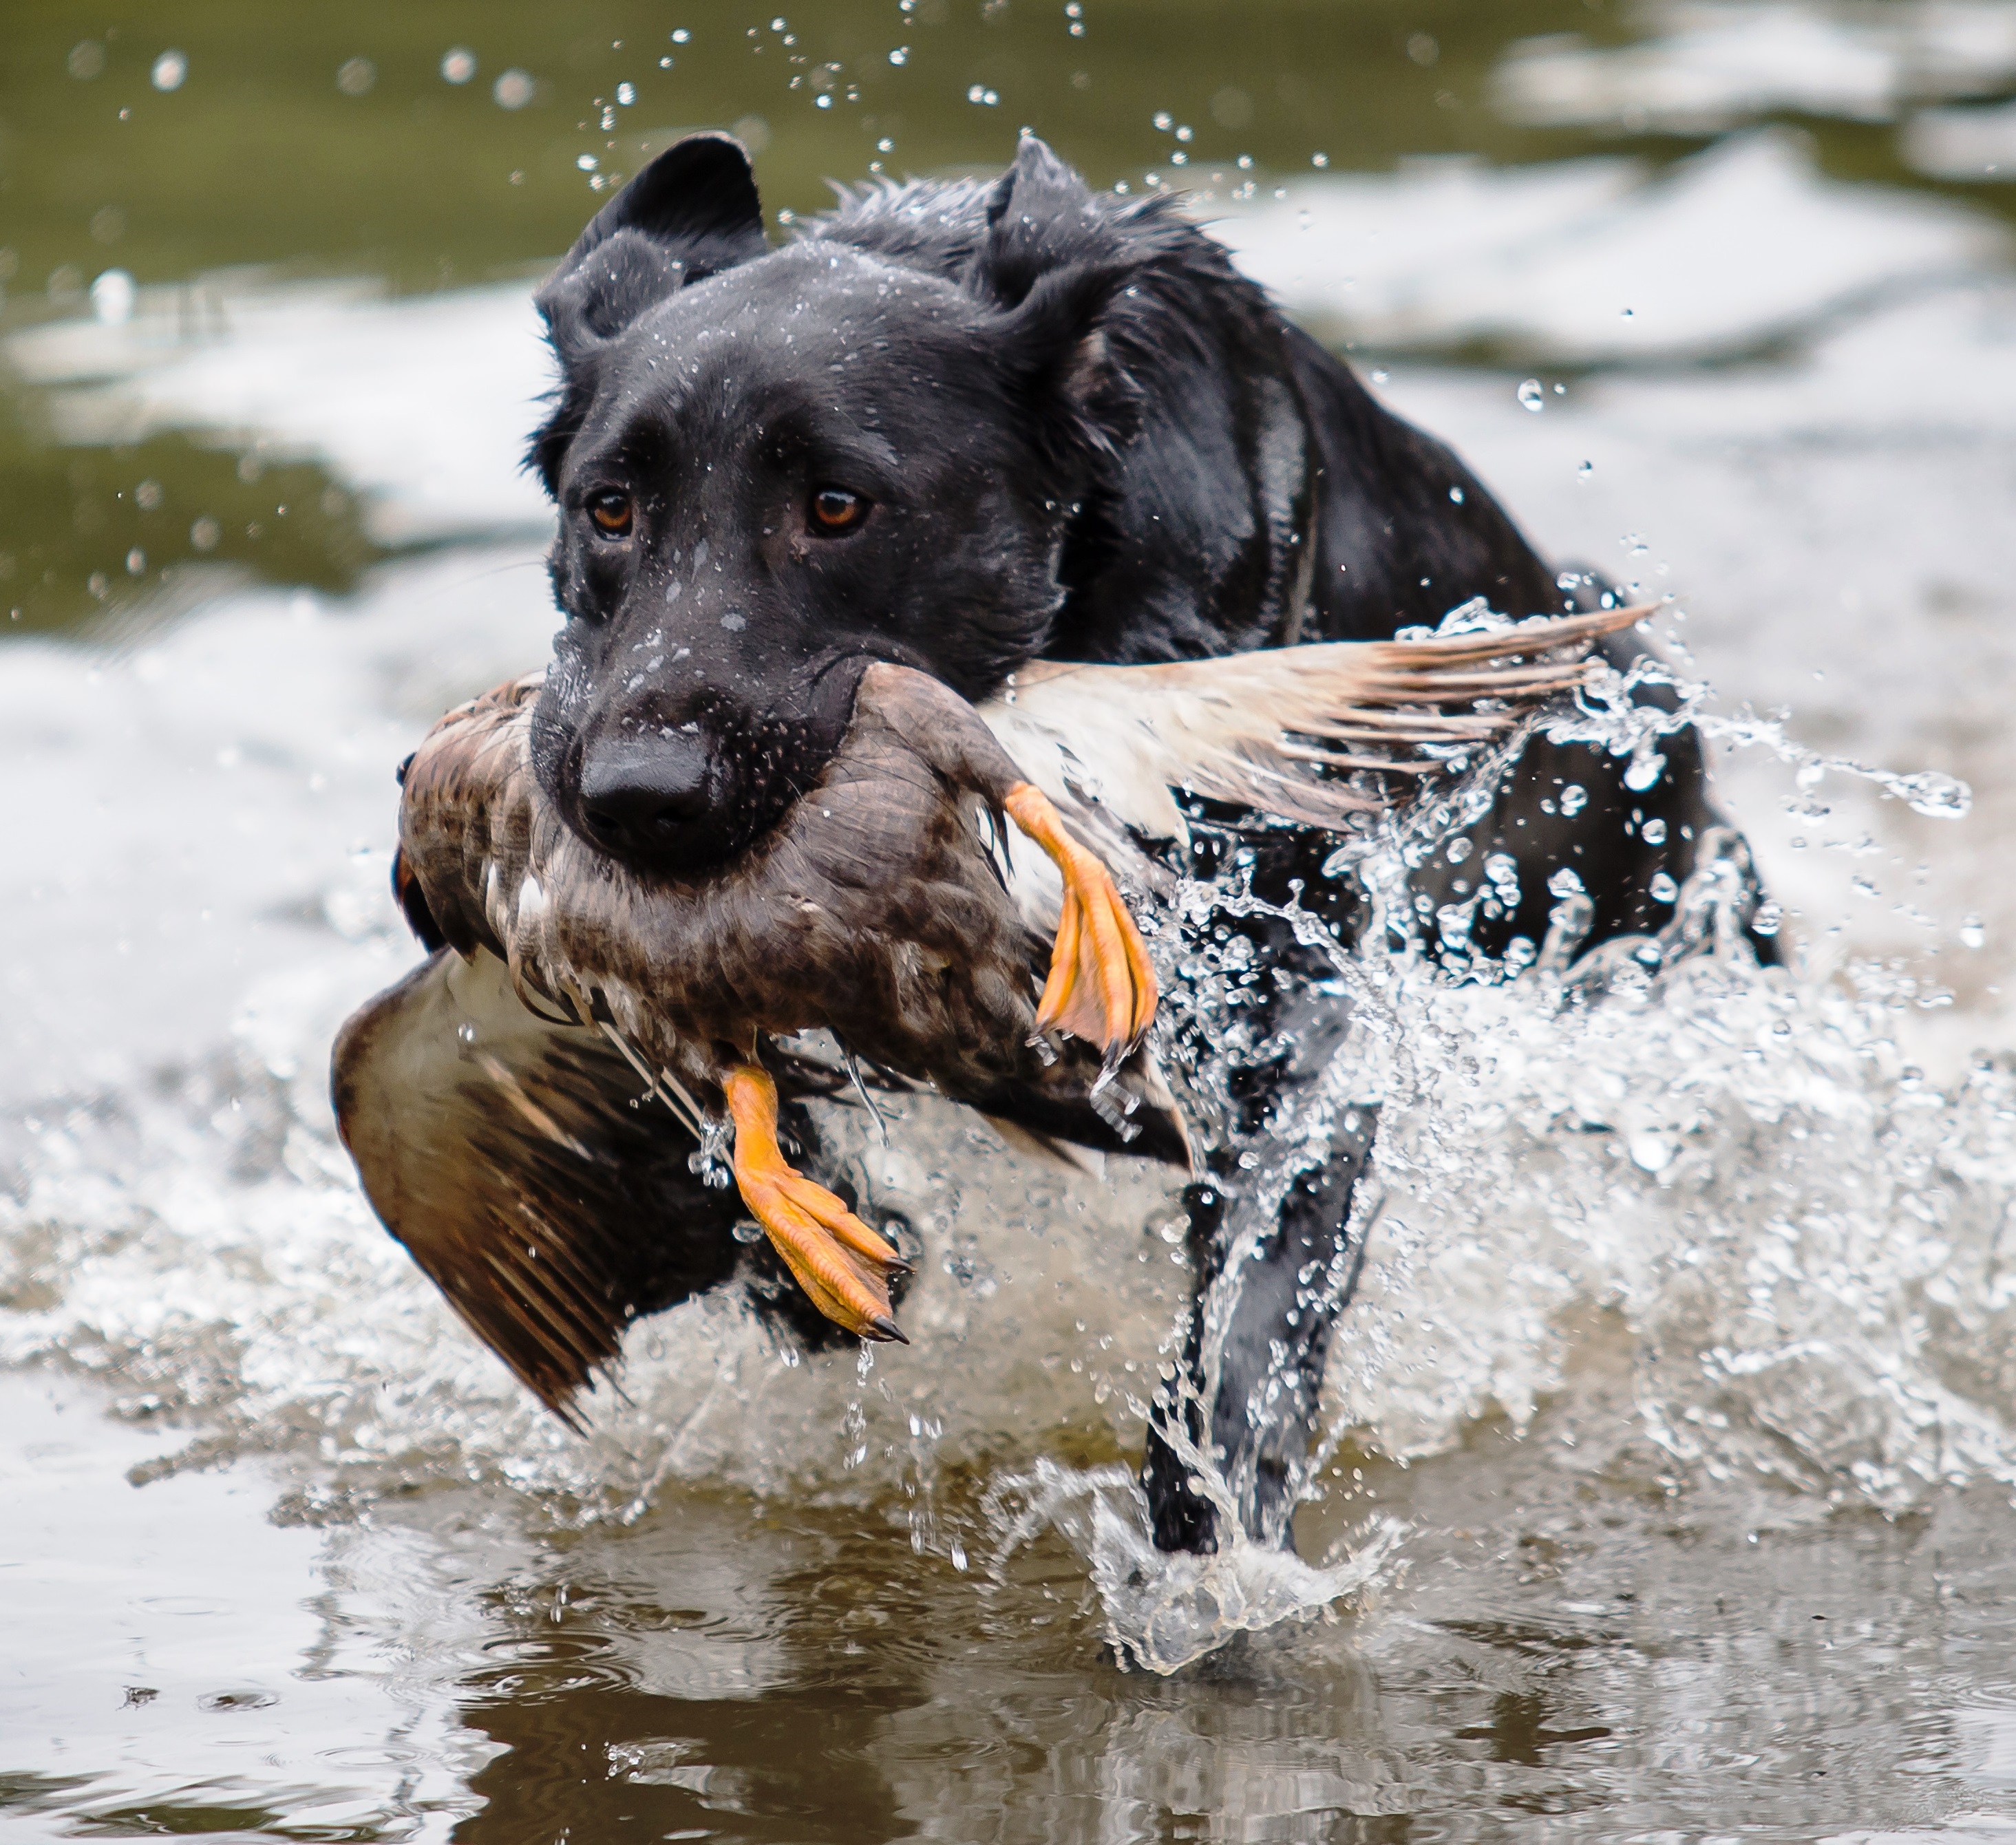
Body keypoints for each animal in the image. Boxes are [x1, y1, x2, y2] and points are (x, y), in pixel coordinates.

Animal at [508, 126, 1765, 1557]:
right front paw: (820, 1244)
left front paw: (1207, 1540)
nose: (635, 795)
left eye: (835, 505)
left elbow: (1248, 1318)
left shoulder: (1292, 1024)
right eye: (609, 509)